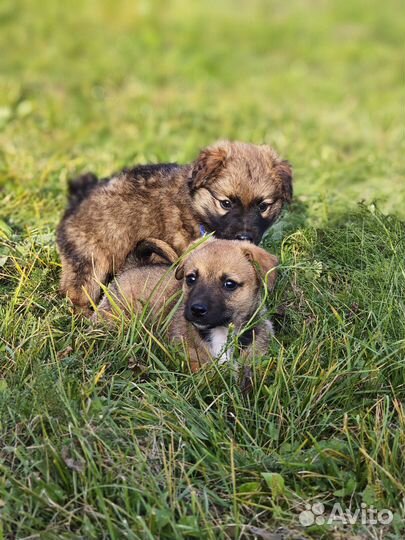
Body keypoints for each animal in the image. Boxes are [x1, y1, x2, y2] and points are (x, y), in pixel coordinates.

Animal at [56, 139, 290, 312]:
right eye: (226, 203)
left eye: (263, 206)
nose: (245, 237)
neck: (196, 208)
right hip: (91, 260)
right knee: (78, 294)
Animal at [95, 239, 278, 372]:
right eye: (191, 278)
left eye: (229, 284)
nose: (196, 310)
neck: (221, 331)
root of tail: (134, 265)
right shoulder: (187, 358)